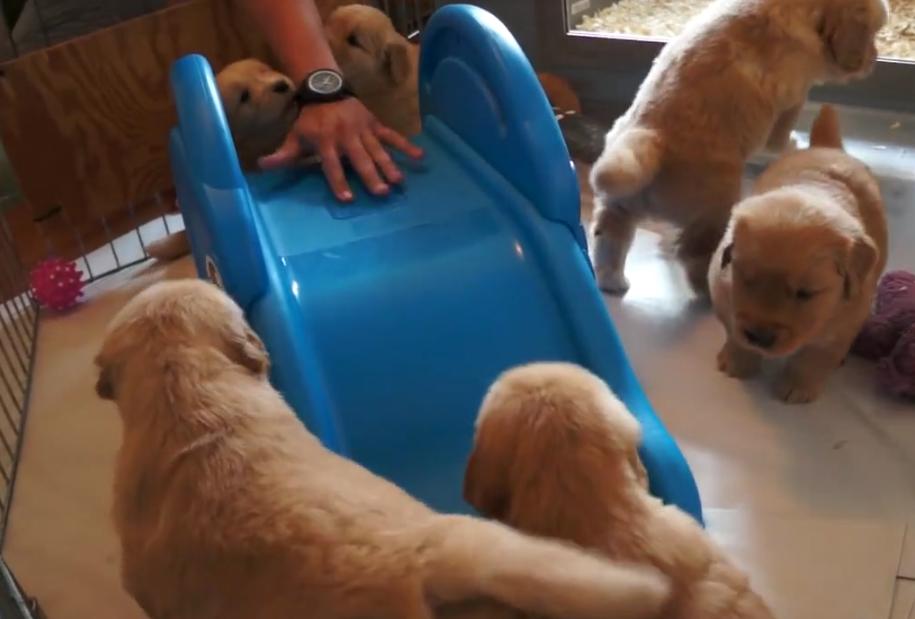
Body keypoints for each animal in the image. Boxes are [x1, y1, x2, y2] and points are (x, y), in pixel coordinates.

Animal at [592, 0, 892, 296]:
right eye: (872, 34)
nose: (874, 61)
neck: (805, 10)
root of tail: (650, 135)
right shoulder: (795, 94)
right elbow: (783, 127)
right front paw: (787, 143)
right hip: (714, 205)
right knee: (693, 254)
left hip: (619, 199)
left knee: (609, 235)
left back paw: (612, 281)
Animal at [708, 105, 888, 406]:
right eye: (746, 279)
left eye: (806, 293)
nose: (759, 336)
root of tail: (827, 146)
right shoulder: (722, 291)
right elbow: (734, 330)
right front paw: (738, 361)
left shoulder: (847, 319)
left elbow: (814, 358)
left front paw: (798, 387)